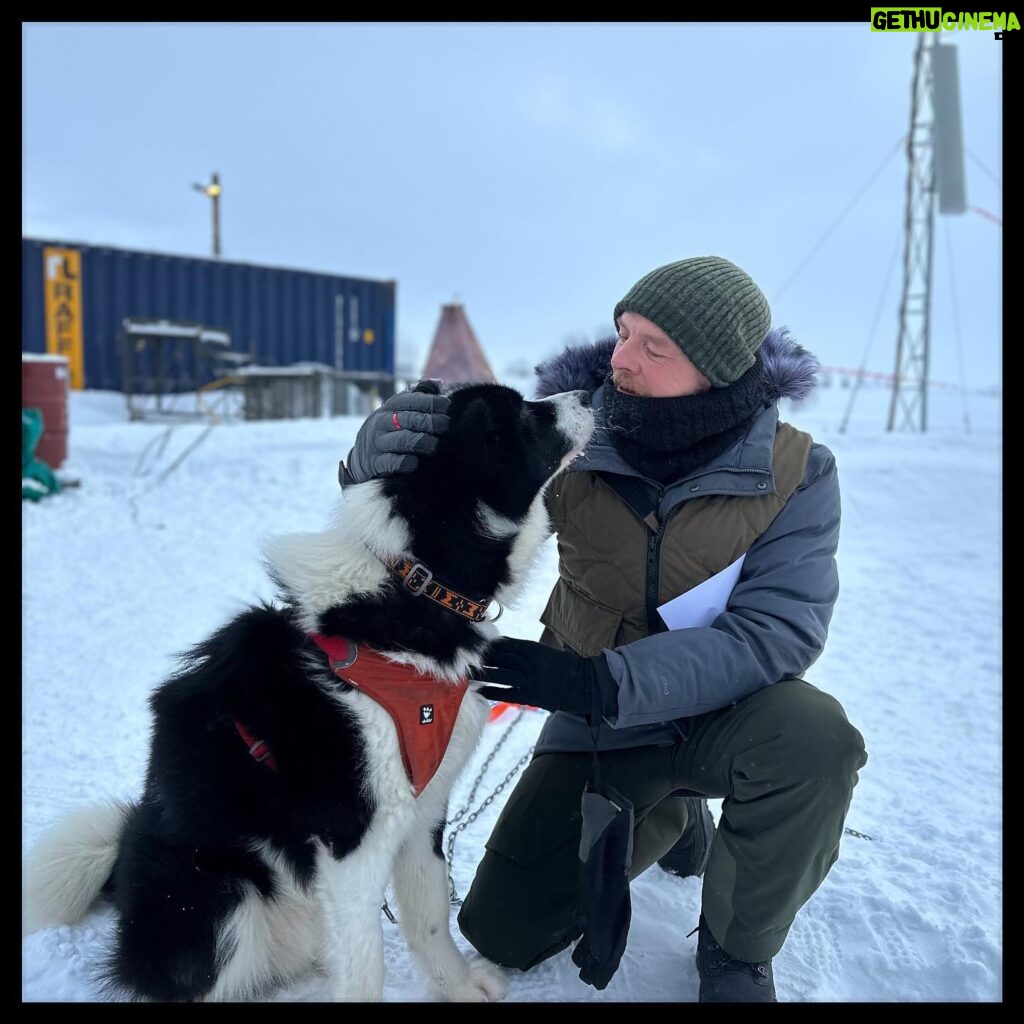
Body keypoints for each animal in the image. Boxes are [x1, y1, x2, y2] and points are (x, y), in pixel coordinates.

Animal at [24, 385, 598, 999]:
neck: (413, 590)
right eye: (520, 413)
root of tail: (125, 857)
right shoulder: (352, 841)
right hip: (224, 903)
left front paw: (459, 986)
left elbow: (429, 918)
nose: (590, 392)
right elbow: (367, 968)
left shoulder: (422, 813)